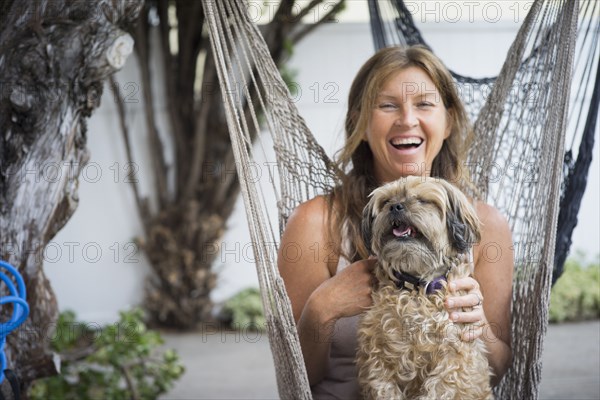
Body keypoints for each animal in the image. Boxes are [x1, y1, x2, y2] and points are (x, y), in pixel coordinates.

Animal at [356, 177, 492, 400]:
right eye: (386, 201)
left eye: (422, 200)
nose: (395, 206)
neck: (417, 287)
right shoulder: (375, 353)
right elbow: (383, 385)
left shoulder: (453, 356)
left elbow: (440, 388)